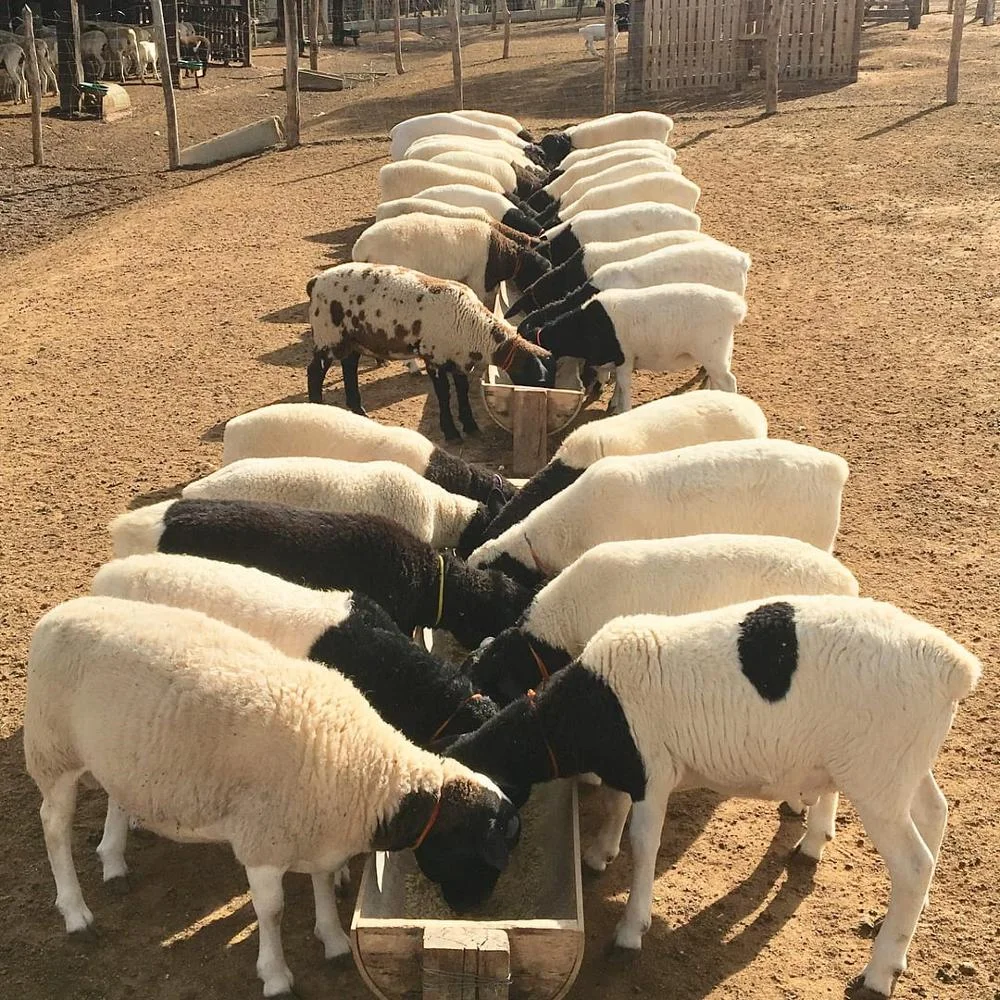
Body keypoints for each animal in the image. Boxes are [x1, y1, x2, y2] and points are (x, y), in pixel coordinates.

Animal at [25, 596, 522, 997]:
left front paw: (334, 940)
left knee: (115, 794)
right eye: (484, 852)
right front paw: (277, 975)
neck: (370, 771)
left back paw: (113, 860)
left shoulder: (317, 824)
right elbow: (273, 911)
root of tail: (57, 613)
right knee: (54, 826)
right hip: (53, 749)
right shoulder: (264, 838)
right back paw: (76, 912)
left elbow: (322, 880)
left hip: (117, 753)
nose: (472, 911)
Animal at [307, 264, 549, 441]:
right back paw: (317, 408)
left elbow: (462, 390)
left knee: (349, 368)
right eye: (539, 380)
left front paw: (470, 425)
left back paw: (358, 410)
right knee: (314, 372)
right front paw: (451, 432)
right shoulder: (435, 357)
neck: (475, 327)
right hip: (328, 334)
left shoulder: (460, 360)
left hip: (353, 339)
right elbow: (444, 394)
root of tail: (315, 281)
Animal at [447, 595, 980, 996]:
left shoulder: (654, 772)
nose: (463, 909)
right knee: (935, 813)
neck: (589, 708)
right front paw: (599, 854)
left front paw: (630, 930)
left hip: (877, 775)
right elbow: (616, 807)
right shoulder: (630, 769)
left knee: (913, 865)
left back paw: (880, 970)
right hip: (903, 765)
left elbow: (645, 846)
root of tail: (953, 666)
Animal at [531, 283, 746, 413]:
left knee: (728, 382)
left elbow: (624, 385)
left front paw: (622, 410)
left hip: (712, 353)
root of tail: (735, 307)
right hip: (720, 353)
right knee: (717, 380)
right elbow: (618, 384)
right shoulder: (619, 362)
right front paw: (614, 404)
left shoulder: (624, 359)